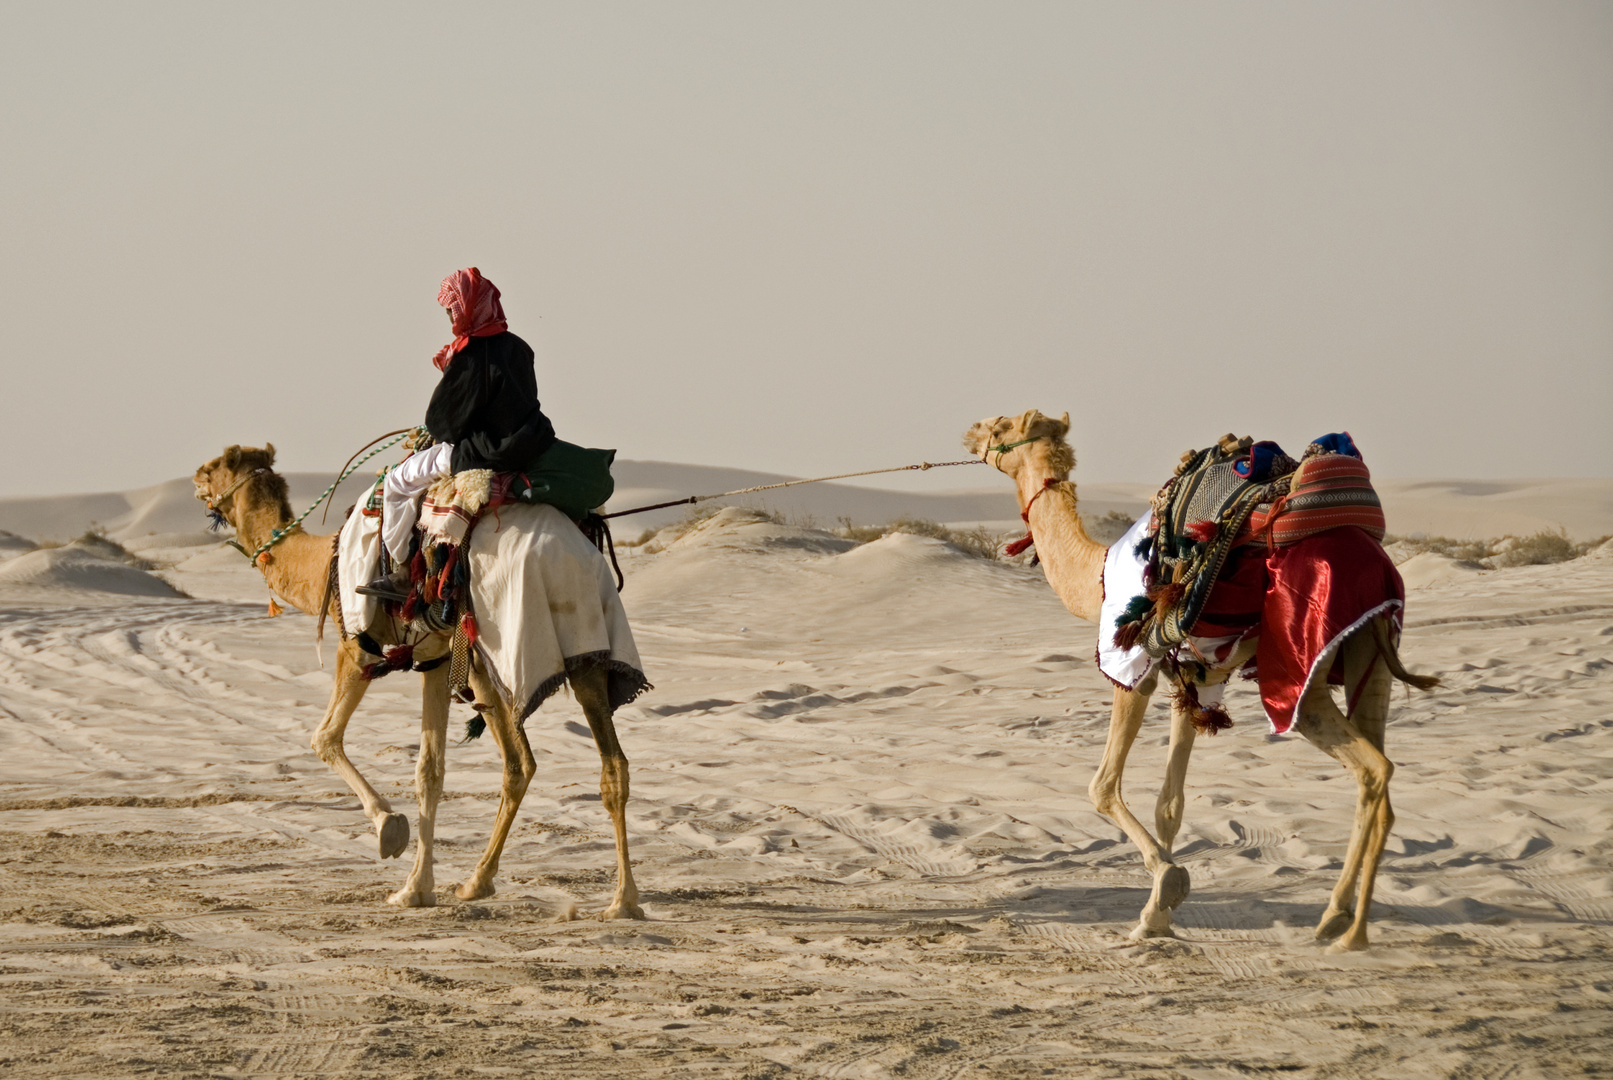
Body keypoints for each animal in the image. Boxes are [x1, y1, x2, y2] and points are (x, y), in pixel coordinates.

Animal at [190, 444, 641, 915]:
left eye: (215, 468)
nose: (195, 479)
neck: (324, 563)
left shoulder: (357, 646)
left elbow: (329, 738)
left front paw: (399, 851)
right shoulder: (438, 659)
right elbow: (432, 768)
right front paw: (420, 882)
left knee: (532, 760)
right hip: (572, 645)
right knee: (571, 764)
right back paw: (594, 896)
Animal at [961, 411, 1445, 954]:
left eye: (1001, 428)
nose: (971, 432)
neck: (1097, 576)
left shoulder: (1133, 665)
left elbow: (1102, 786)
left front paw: (1166, 886)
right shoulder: (1194, 679)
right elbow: (1169, 804)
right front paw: (1158, 917)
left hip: (1302, 663)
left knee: (1372, 768)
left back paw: (1340, 924)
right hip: (1372, 650)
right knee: (1382, 774)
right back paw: (1350, 924)